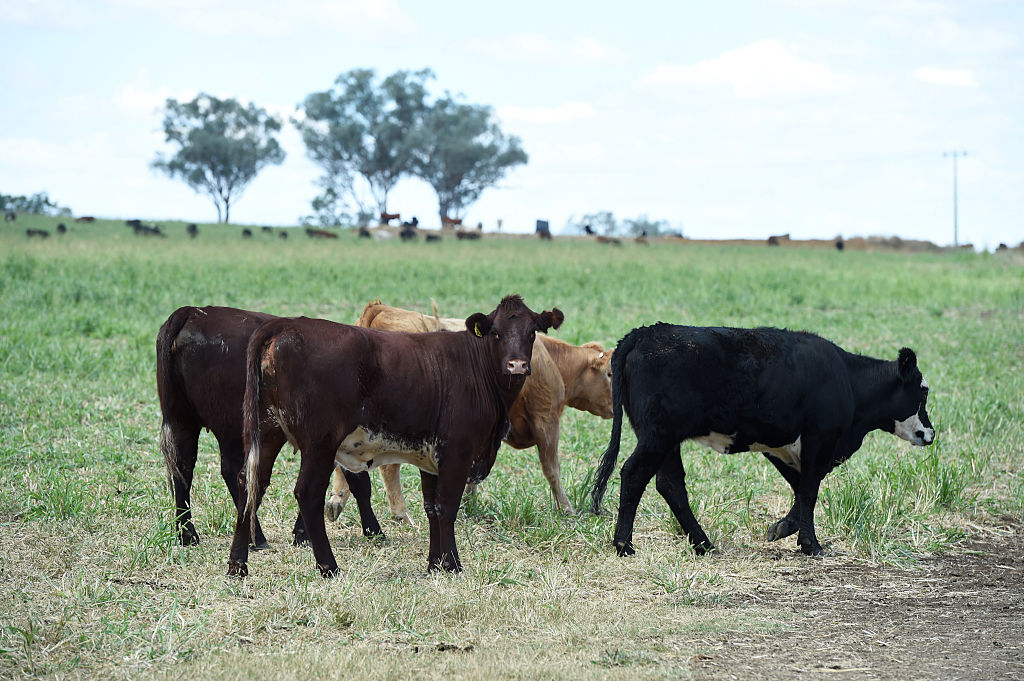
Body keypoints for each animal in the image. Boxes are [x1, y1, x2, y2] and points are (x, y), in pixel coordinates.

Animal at [156, 306, 383, 550]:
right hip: (231, 426)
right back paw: (255, 536)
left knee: (182, 468)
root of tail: (193, 312)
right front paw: (374, 530)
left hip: (182, 420)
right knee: (233, 471)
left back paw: (187, 534)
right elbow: (358, 482)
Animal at [227, 295, 564, 577]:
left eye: (532, 332)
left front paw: (435, 564)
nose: (517, 365)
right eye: (496, 332)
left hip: (267, 432)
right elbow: (447, 507)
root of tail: (286, 324)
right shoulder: (458, 450)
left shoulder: (432, 459)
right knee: (307, 493)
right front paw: (453, 565)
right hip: (320, 443)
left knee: (249, 483)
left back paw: (237, 565)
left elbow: (432, 508)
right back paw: (329, 567)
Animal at [325, 300, 613, 520]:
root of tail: (379, 309)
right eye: (610, 373)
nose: (615, 408)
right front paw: (566, 509)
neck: (551, 359)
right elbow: (552, 469)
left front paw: (468, 504)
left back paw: (336, 501)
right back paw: (401, 514)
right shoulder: (547, 420)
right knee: (389, 468)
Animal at [589, 324, 934, 558]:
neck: (846, 379)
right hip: (658, 437)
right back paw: (624, 544)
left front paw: (782, 529)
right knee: (634, 475)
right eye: (923, 391)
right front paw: (811, 545)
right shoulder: (819, 440)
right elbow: (809, 491)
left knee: (670, 484)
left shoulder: (781, 446)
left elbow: (801, 490)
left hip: (667, 441)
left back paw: (703, 544)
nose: (930, 433)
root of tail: (644, 333)